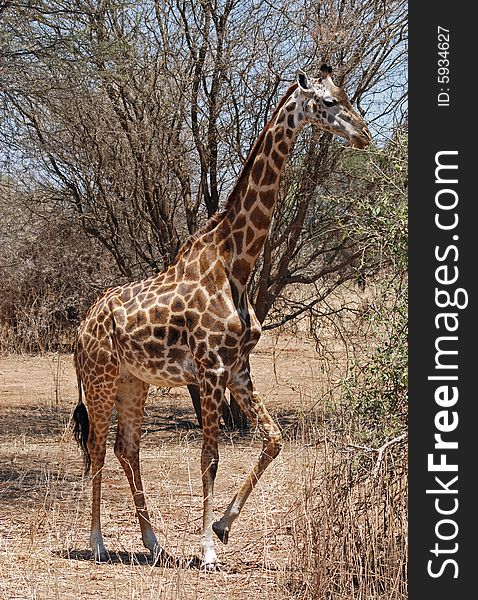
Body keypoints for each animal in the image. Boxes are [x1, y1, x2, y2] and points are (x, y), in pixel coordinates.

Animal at [73, 63, 372, 568]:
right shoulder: (211, 369)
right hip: (101, 378)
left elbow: (273, 439)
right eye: (330, 102)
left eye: (348, 96)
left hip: (135, 380)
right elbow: (209, 457)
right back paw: (97, 543)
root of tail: (78, 330)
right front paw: (208, 550)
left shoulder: (239, 368)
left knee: (126, 447)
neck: (237, 261)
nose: (364, 134)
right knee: (96, 448)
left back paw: (153, 543)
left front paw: (222, 527)